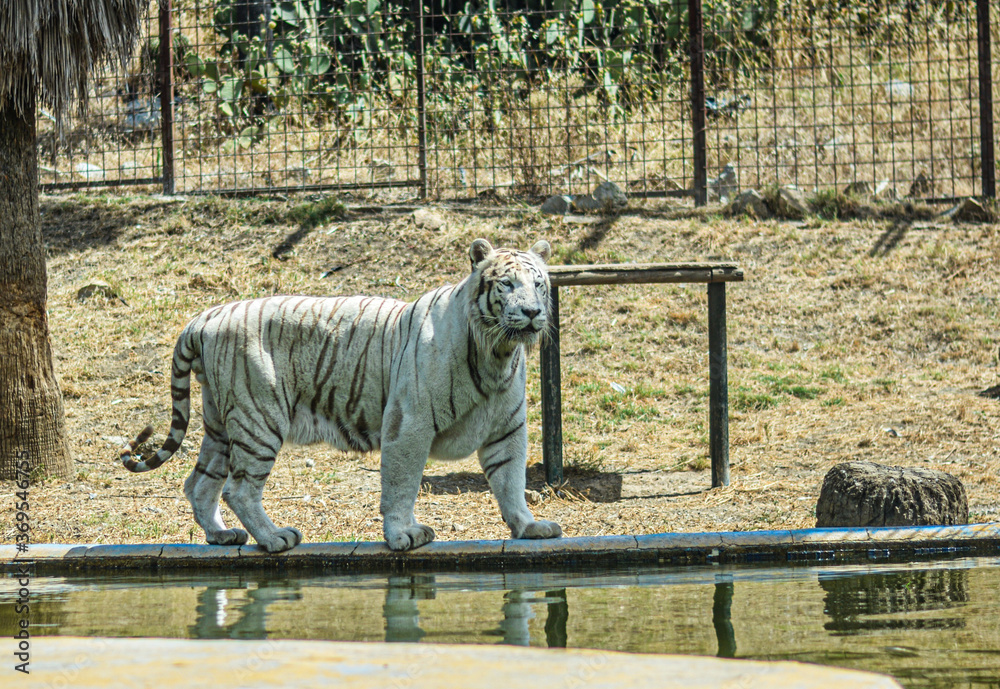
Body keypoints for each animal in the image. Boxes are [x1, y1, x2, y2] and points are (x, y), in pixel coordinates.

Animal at [120, 238, 562, 553]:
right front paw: (403, 535)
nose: (531, 312)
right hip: (258, 419)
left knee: (199, 483)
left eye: (539, 284)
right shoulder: (409, 423)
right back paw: (275, 538)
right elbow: (401, 484)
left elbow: (510, 480)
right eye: (507, 284)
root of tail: (203, 317)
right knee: (238, 488)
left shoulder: (507, 428)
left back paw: (221, 536)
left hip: (221, 424)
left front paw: (529, 527)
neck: (496, 353)